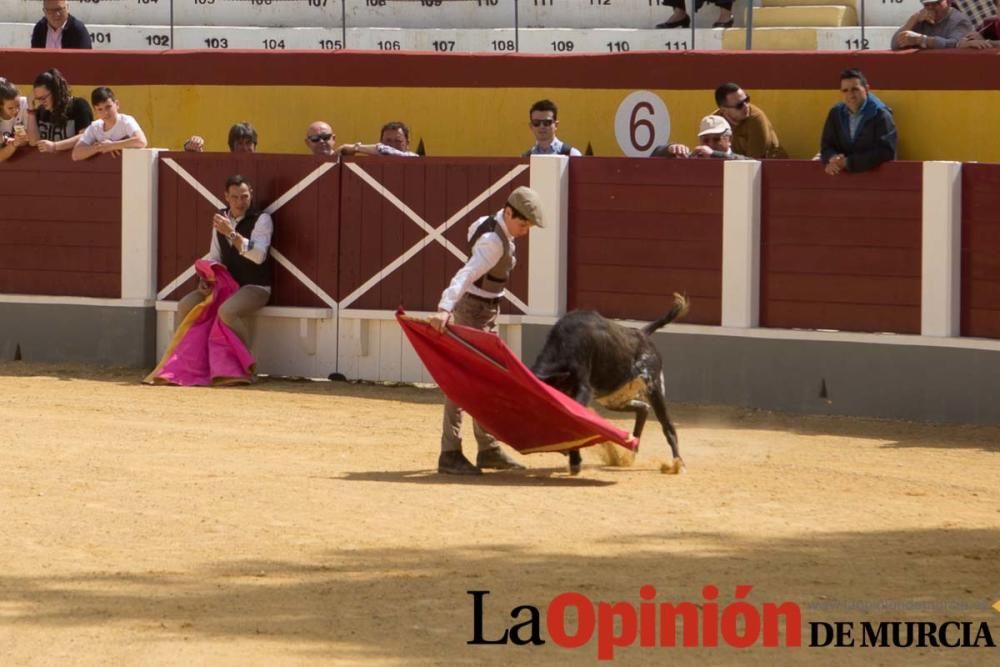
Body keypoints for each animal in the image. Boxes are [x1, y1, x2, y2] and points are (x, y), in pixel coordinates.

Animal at [532, 294, 688, 474]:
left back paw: (678, 464)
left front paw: (575, 460)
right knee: (643, 409)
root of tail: (643, 333)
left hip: (654, 387)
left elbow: (576, 418)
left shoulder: (583, 389)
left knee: (667, 426)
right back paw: (631, 451)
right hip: (613, 399)